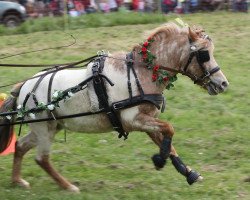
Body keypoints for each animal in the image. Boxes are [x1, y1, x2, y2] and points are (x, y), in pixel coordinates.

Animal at [0, 22, 229, 192]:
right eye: (204, 54)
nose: (223, 83)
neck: (142, 72)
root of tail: (23, 86)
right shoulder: (133, 120)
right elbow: (169, 130)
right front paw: (159, 160)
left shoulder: (147, 120)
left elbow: (167, 141)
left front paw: (188, 172)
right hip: (44, 129)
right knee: (42, 158)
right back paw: (68, 186)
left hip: (48, 127)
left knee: (20, 146)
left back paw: (17, 181)